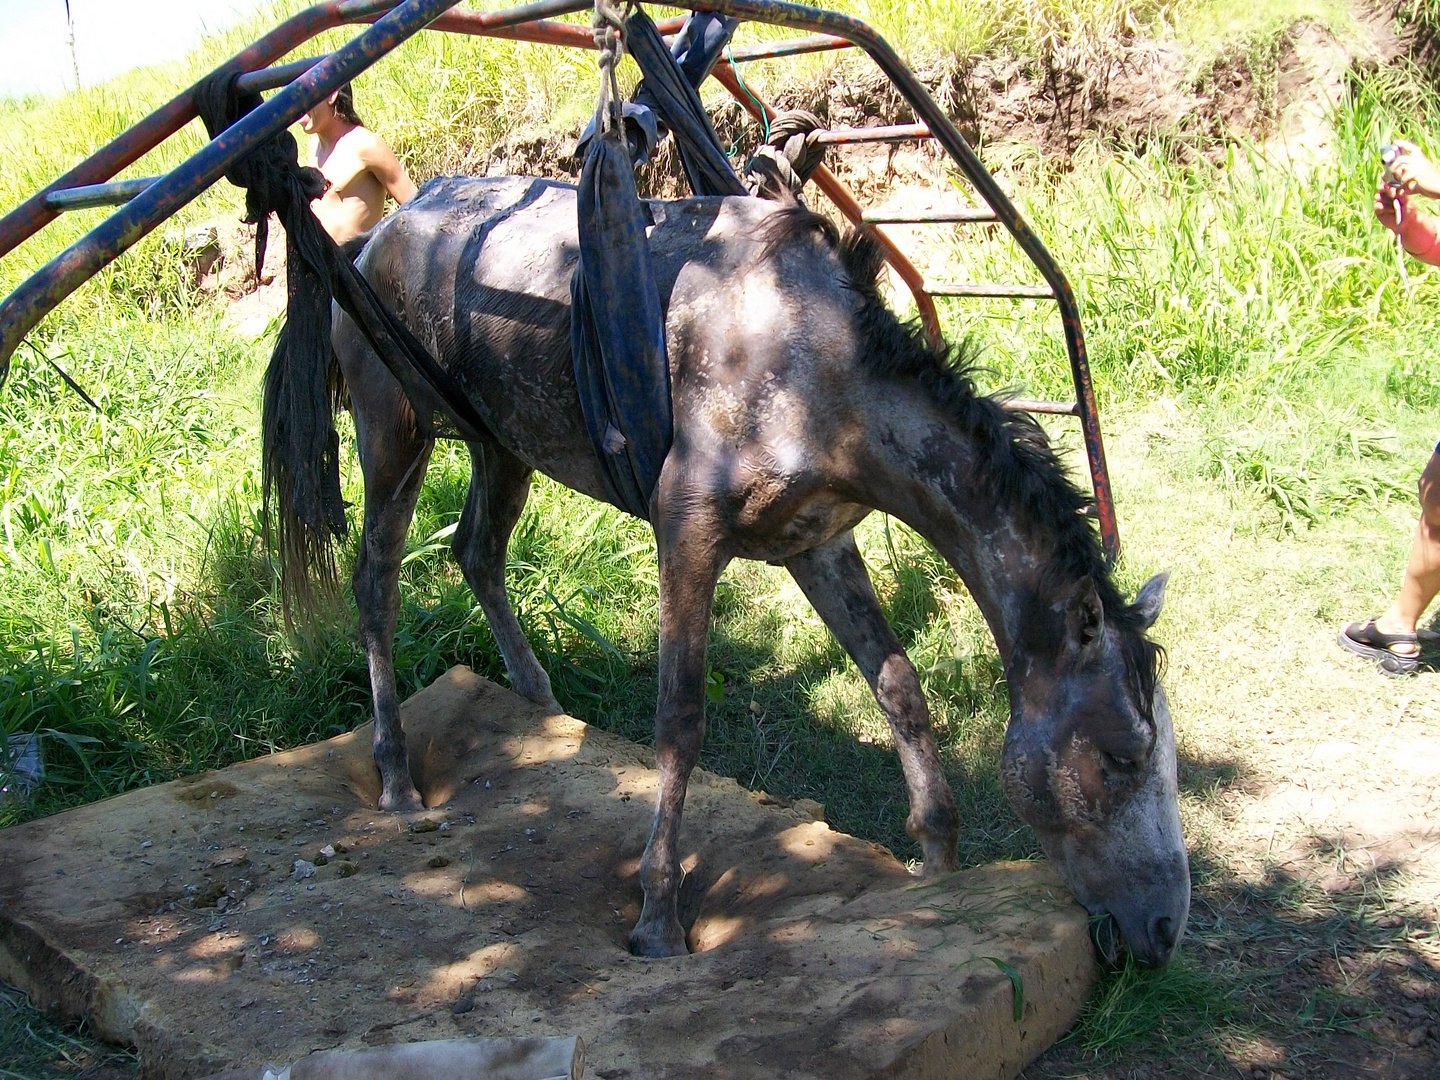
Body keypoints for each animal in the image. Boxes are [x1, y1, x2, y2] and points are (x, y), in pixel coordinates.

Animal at [277, 173, 1180, 967]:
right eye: (1123, 756)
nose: (1166, 931)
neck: (816, 371)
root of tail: (375, 237)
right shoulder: (689, 534)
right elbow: (680, 719)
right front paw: (656, 920)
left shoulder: (817, 544)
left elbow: (897, 682)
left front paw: (936, 860)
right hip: (393, 433)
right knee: (377, 583)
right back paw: (397, 777)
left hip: (502, 442)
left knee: (476, 551)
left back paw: (540, 706)